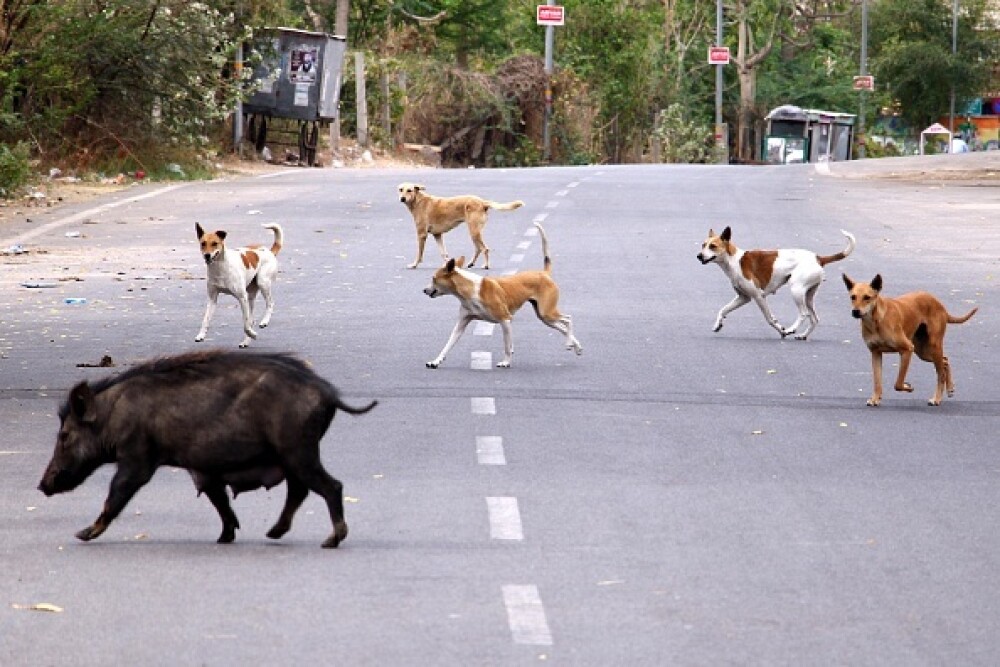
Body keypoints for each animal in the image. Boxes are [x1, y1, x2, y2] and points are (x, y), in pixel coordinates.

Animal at [396, 181, 528, 270]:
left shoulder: (422, 234)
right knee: (478, 249)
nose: (402, 198)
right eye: (400, 189)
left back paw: (485, 265)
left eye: (409, 190)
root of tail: (482, 202)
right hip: (474, 232)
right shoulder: (437, 235)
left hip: (474, 231)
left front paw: (414, 264)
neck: (418, 200)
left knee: (484, 248)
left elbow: (419, 254)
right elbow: (443, 253)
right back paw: (471, 263)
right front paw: (447, 266)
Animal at [420, 224, 580, 370]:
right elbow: (447, 344)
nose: (424, 290)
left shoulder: (505, 320)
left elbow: (507, 346)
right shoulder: (461, 324)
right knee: (562, 326)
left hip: (546, 312)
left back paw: (569, 342)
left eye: (434, 278)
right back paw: (575, 345)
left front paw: (506, 362)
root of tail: (544, 273)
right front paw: (435, 361)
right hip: (544, 316)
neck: (470, 290)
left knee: (568, 319)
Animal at [700, 227, 856, 340]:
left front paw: (782, 331)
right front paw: (718, 324)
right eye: (703, 245)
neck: (734, 260)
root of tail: (818, 258)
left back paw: (792, 329)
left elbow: (769, 319)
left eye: (712, 246)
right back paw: (803, 335)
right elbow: (723, 309)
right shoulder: (744, 298)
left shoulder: (759, 296)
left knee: (804, 314)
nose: (699, 256)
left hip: (796, 290)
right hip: (808, 296)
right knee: (815, 319)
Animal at [844, 272, 976, 408]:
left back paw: (937, 398)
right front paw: (875, 398)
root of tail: (939, 304)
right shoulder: (876, 353)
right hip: (922, 351)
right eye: (853, 297)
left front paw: (907, 386)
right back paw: (950, 388)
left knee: (941, 373)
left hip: (932, 346)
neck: (876, 320)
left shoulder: (907, 349)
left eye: (867, 297)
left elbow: (898, 383)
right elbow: (877, 381)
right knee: (945, 360)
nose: (855, 311)